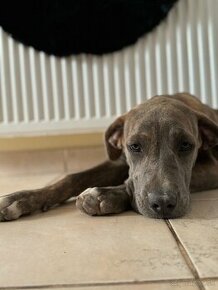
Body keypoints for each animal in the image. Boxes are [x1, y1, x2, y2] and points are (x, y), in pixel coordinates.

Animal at [0, 92, 218, 220]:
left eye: (186, 145)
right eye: (134, 146)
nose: (163, 203)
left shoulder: (213, 168)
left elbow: (130, 183)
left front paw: (105, 195)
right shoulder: (118, 162)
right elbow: (73, 177)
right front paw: (19, 199)